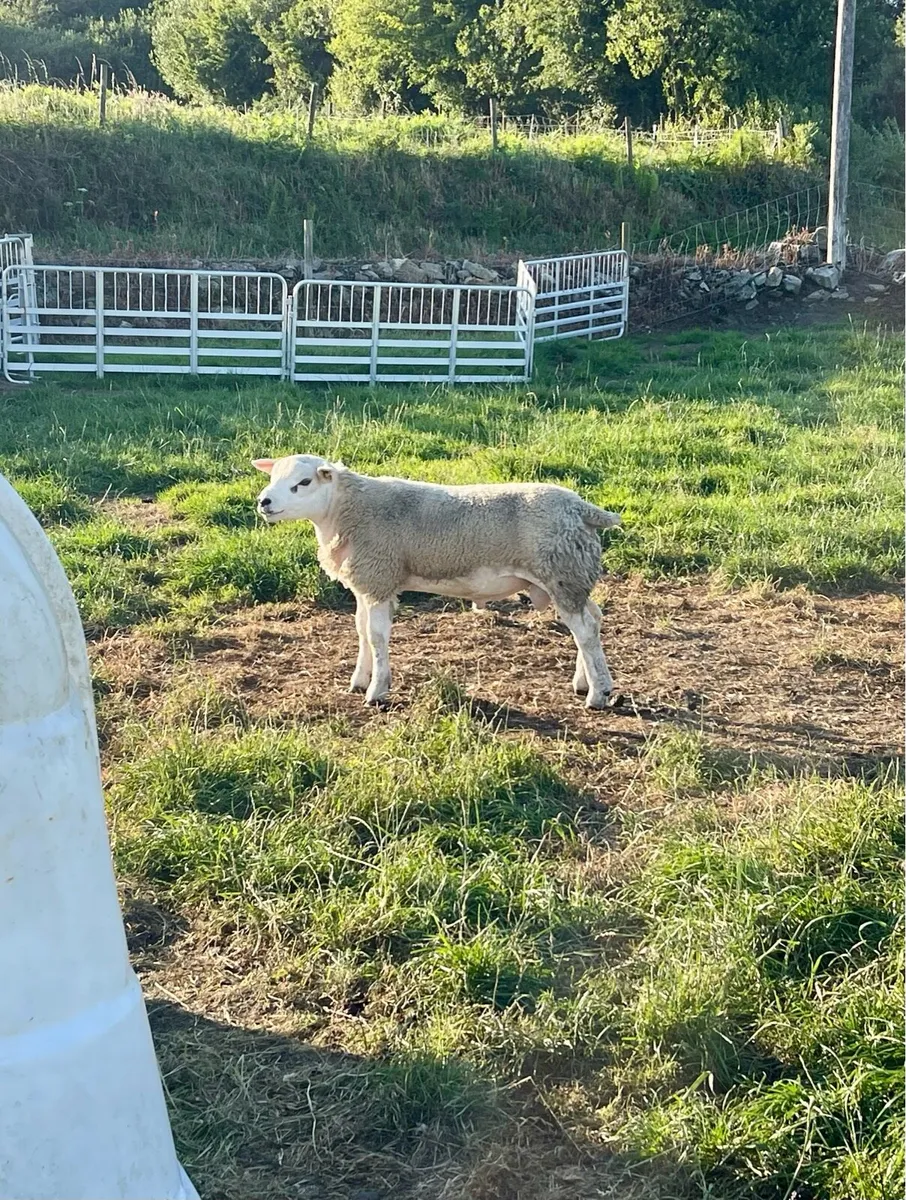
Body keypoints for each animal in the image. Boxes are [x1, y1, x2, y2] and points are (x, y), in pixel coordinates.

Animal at [253, 455, 621, 709]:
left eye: (303, 482)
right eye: (273, 476)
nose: (263, 502)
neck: (345, 510)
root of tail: (583, 509)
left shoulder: (379, 577)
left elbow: (376, 636)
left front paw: (376, 691)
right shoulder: (367, 581)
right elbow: (361, 631)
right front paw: (359, 680)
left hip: (561, 574)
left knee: (585, 630)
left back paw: (598, 694)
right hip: (570, 577)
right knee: (594, 619)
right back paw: (584, 682)